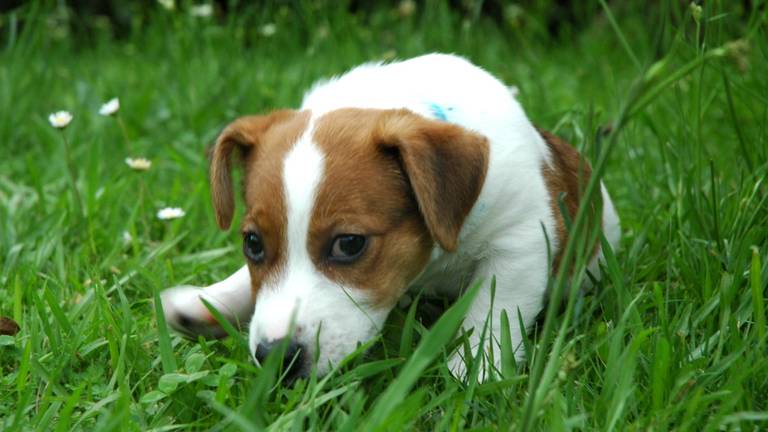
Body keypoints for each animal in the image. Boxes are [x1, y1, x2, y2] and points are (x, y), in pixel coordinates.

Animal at [159, 52, 620, 380]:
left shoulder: (520, 239)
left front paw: (474, 370)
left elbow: (494, 311)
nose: (276, 358)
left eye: (349, 244)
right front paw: (211, 301)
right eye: (252, 243)